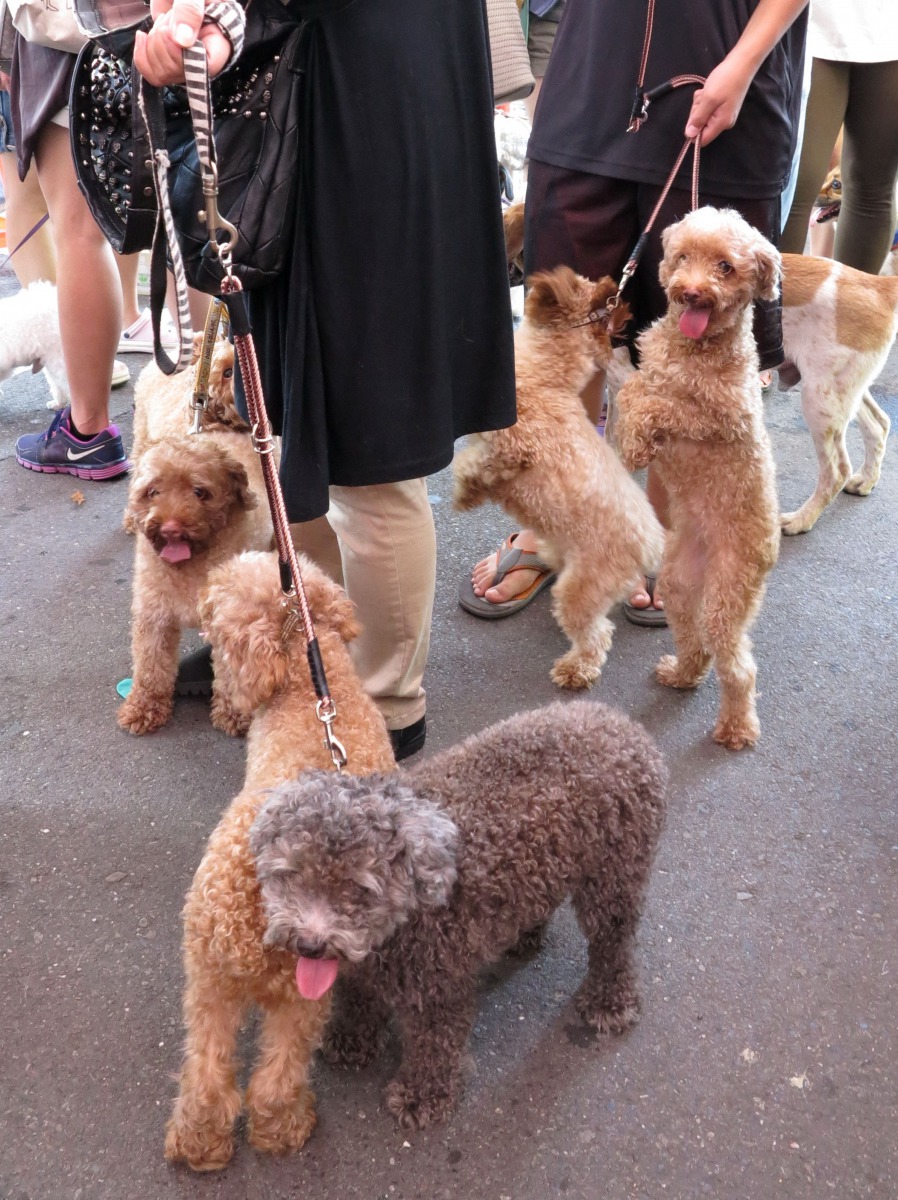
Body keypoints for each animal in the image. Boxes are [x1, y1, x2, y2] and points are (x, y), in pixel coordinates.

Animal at [619, 207, 777, 748]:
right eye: (683, 256)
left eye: (726, 266)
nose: (689, 292)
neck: (694, 347)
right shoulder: (646, 370)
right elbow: (632, 393)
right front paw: (636, 441)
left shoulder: (724, 415)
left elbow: (664, 405)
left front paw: (638, 441)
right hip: (679, 586)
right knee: (697, 645)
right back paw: (682, 673)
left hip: (729, 593)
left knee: (739, 666)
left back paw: (737, 728)